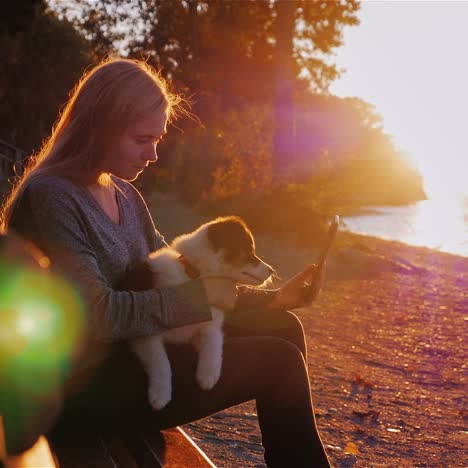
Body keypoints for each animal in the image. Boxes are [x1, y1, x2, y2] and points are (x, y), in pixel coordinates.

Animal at [130, 216, 272, 410]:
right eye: (249, 251)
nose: (272, 270)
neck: (194, 276)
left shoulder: (209, 325)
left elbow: (213, 345)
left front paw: (207, 377)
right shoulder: (145, 333)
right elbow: (160, 361)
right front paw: (160, 395)